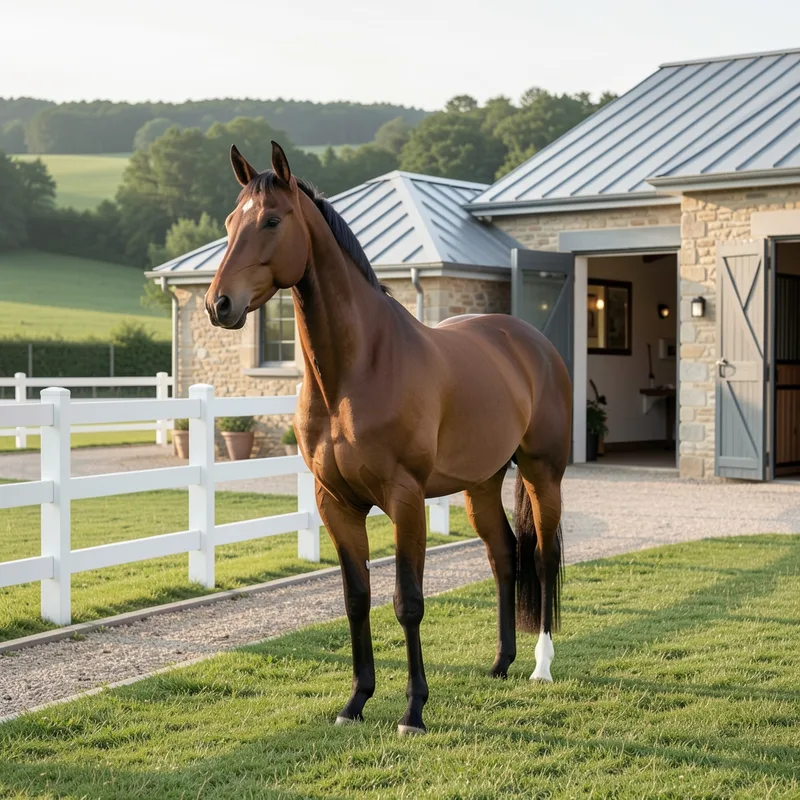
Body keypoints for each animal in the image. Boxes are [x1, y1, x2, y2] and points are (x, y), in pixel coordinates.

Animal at [204, 141, 572, 736]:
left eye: (272, 220)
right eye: (229, 222)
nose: (219, 305)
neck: (357, 370)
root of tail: (530, 341)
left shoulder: (405, 500)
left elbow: (408, 602)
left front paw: (413, 711)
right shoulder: (335, 502)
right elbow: (357, 599)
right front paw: (355, 703)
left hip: (543, 474)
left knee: (540, 558)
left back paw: (540, 667)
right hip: (481, 483)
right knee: (503, 555)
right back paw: (500, 664)